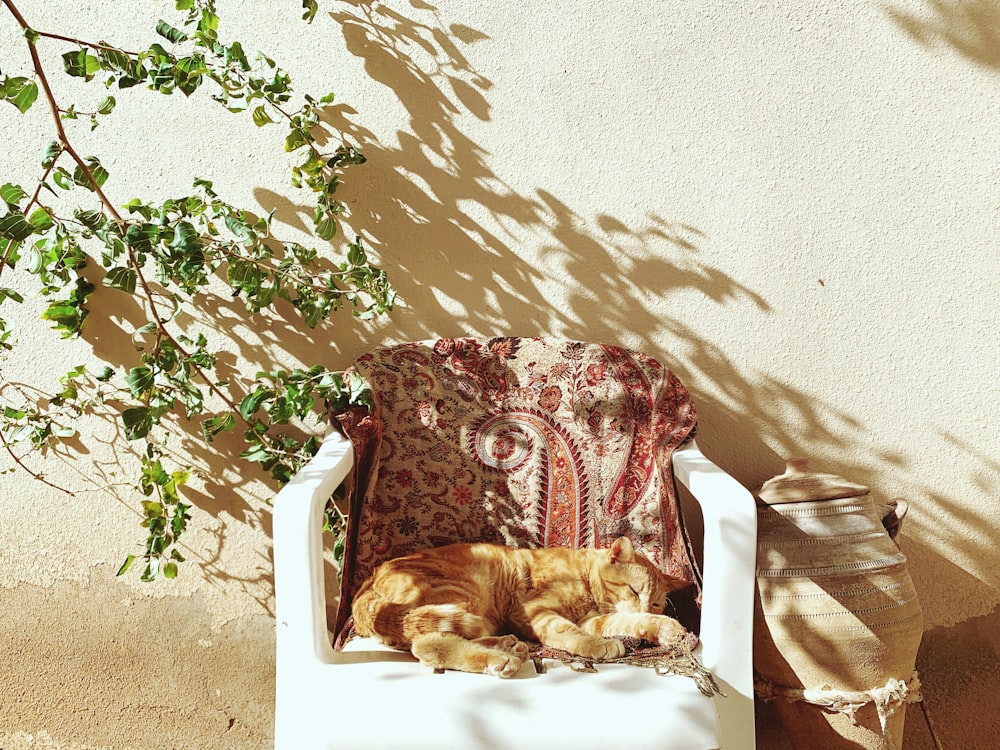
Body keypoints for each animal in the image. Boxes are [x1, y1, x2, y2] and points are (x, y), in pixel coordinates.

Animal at [350, 536, 688, 680]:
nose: (646, 604)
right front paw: (596, 646)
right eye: (634, 589)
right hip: (464, 594)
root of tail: (367, 583)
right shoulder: (535, 611)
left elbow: (626, 621)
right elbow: (569, 632)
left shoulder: (594, 619)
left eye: (656, 602)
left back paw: (507, 646)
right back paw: (499, 660)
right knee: (428, 643)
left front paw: (666, 628)